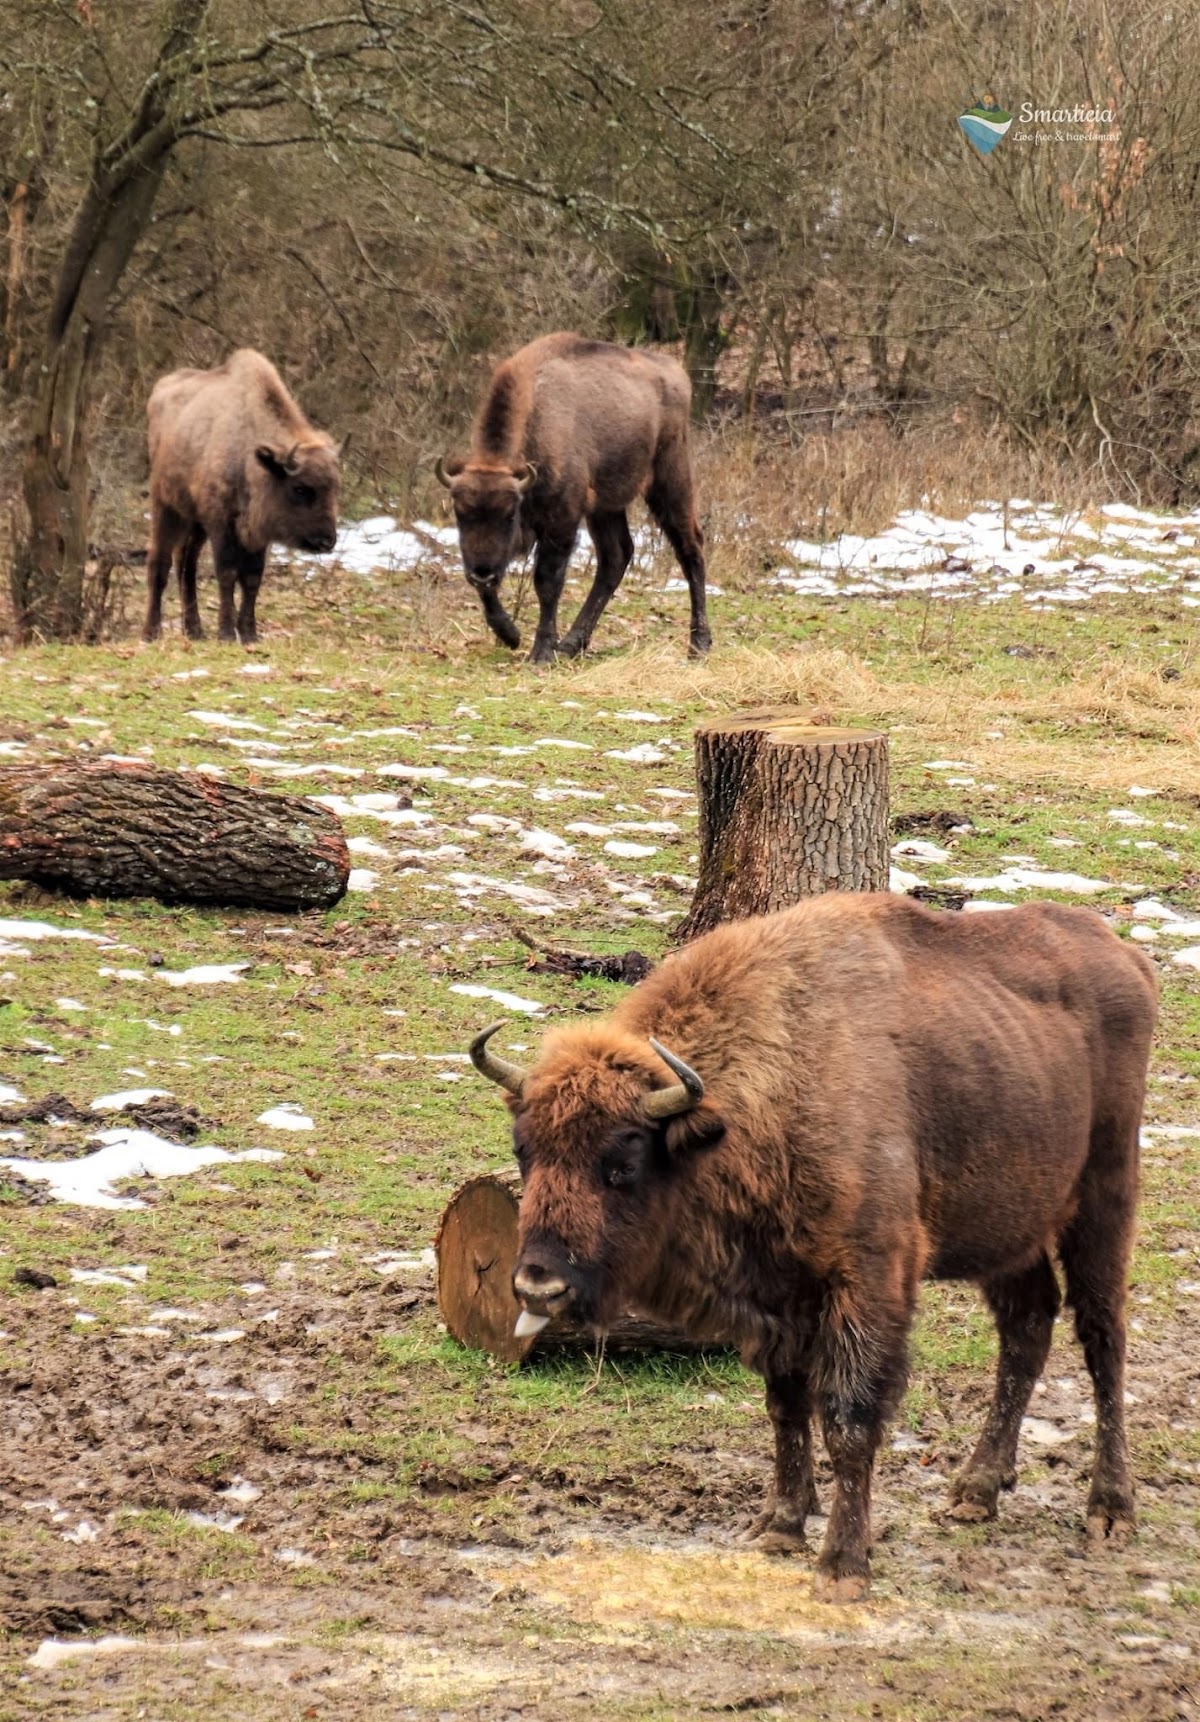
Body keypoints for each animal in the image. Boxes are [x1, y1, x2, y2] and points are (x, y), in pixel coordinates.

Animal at [143, 348, 341, 644]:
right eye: (300, 488)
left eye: (335, 488)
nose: (327, 541)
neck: (253, 460)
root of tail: (160, 390)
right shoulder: (222, 526)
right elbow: (227, 573)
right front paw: (226, 632)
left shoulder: (256, 535)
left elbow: (251, 578)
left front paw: (249, 634)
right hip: (166, 506)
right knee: (160, 563)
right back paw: (151, 632)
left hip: (195, 523)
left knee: (186, 566)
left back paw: (195, 630)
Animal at [437, 332, 711, 664]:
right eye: (460, 513)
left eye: (509, 514)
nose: (481, 573)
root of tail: (676, 373)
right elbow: (493, 584)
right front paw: (511, 635)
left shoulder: (562, 521)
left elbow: (547, 582)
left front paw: (542, 652)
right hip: (606, 507)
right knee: (616, 557)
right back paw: (572, 643)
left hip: (670, 483)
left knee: (690, 550)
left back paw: (699, 644)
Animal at [470, 893, 1157, 1601]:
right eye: (525, 1151)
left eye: (623, 1161)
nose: (538, 1286)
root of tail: (1127, 958)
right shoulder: (778, 1295)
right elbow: (786, 1406)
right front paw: (780, 1527)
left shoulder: (867, 1282)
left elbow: (849, 1418)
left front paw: (841, 1567)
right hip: (1012, 1229)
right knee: (1026, 1329)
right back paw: (975, 1491)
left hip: (1104, 1199)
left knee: (1103, 1337)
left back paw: (1110, 1509)